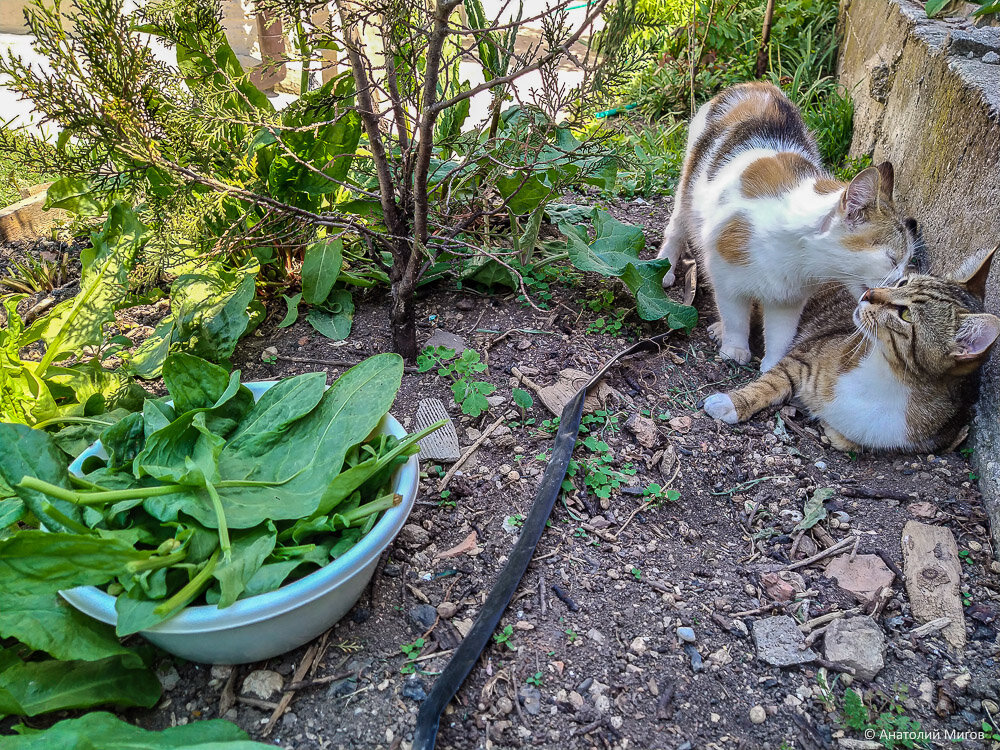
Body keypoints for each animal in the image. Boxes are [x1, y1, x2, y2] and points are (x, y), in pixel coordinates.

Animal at [660, 82, 916, 374]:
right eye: (891, 259)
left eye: (907, 263)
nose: (899, 283)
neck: (798, 257)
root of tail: (757, 85)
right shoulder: (726, 277)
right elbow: (735, 316)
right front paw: (735, 348)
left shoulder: (788, 299)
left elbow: (780, 334)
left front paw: (772, 363)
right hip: (688, 188)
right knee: (676, 227)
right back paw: (665, 269)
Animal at [704, 248, 1000, 452]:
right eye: (902, 283)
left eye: (905, 314)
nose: (869, 293)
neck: (887, 376)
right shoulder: (801, 358)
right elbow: (768, 384)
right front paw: (731, 403)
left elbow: (849, 441)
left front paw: (829, 427)